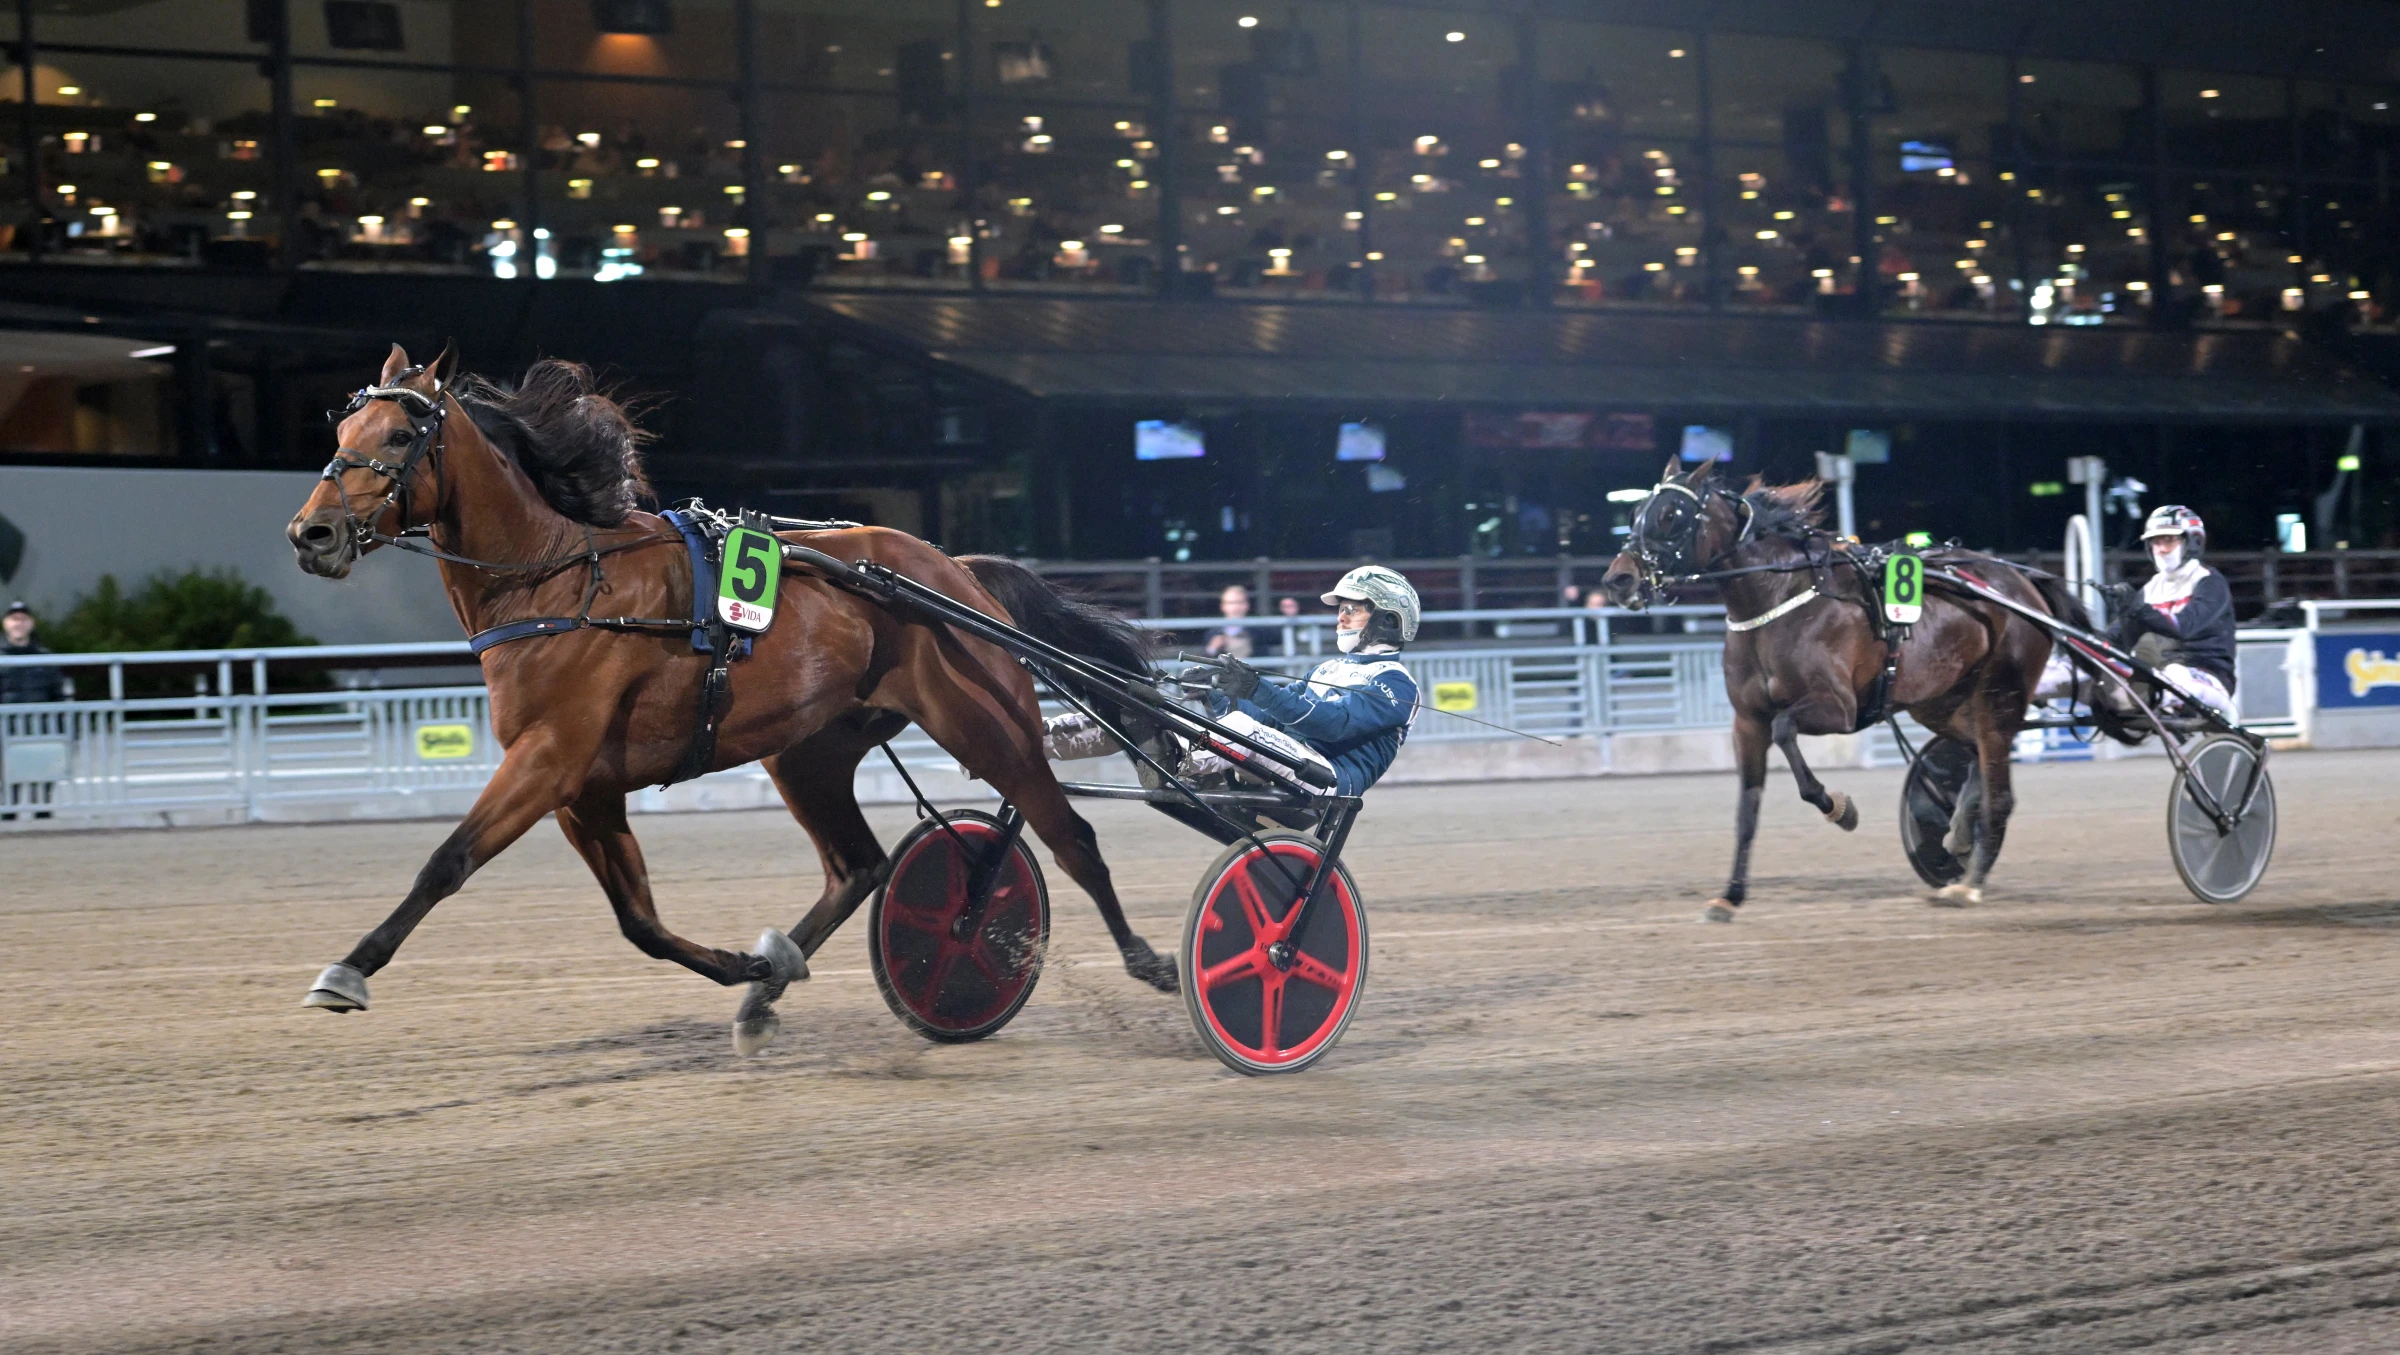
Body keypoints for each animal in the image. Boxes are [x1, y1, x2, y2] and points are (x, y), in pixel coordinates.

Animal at [285, 342, 1176, 1050]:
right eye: (339, 437)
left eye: (400, 435)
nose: (310, 534)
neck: (562, 580)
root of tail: (957, 570)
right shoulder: (584, 787)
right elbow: (639, 921)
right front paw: (746, 962)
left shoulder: (548, 760)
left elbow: (448, 859)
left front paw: (348, 970)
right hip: (809, 751)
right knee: (860, 865)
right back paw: (768, 985)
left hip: (985, 723)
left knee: (1071, 836)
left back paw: (1150, 959)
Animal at [1593, 460, 2083, 916]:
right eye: (1635, 511)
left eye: (1671, 515)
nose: (1618, 579)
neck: (1779, 600)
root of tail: (2025, 584)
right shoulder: (1747, 722)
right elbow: (1747, 811)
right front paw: (1730, 897)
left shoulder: (1838, 708)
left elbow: (1787, 731)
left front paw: (1840, 808)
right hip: (1942, 703)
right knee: (1978, 755)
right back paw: (1960, 831)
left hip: (1998, 695)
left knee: (2000, 791)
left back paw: (1969, 884)